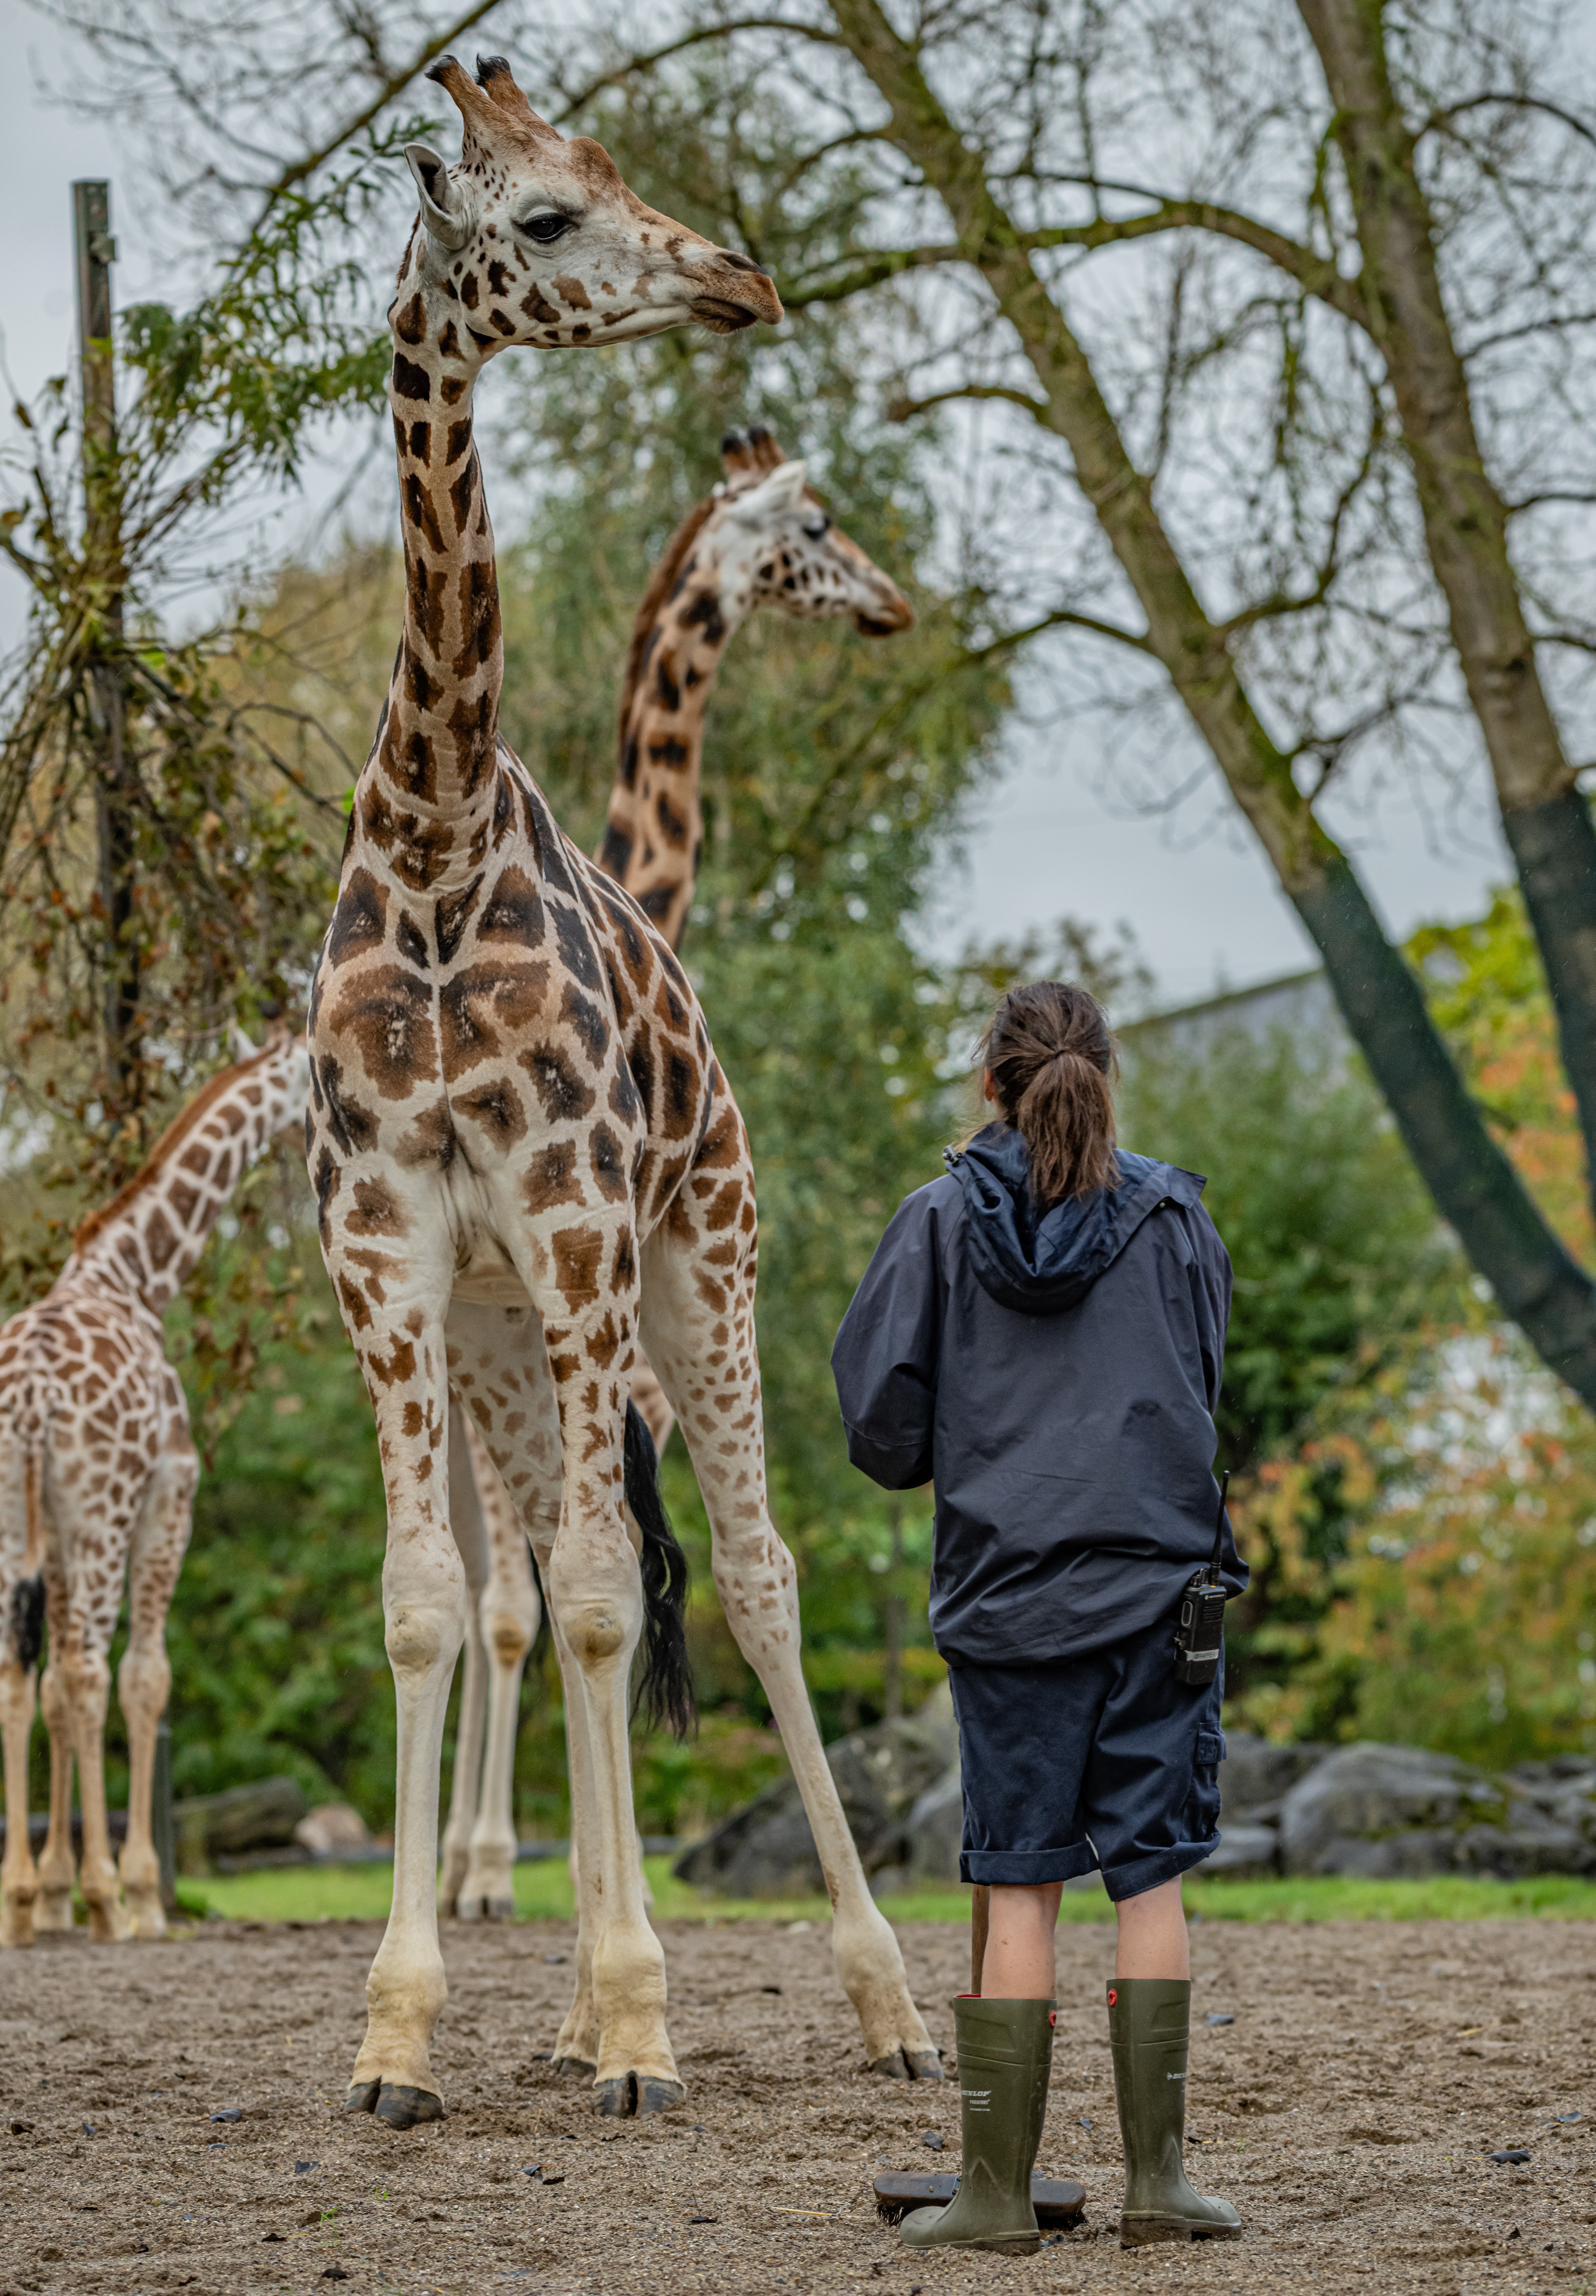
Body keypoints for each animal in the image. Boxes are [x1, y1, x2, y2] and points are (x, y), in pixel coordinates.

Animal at [0, 1027, 311, 1948]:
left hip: (17, 1517)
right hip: (105, 1516)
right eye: (311, 1079)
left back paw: (20, 1899)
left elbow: (54, 1694)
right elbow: (144, 1677)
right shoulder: (167, 1501)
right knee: (88, 1669)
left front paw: (51, 1894)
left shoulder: (57, 1533)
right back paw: (111, 1898)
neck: (133, 1276)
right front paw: (134, 1890)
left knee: (22, 1671)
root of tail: (32, 1396)